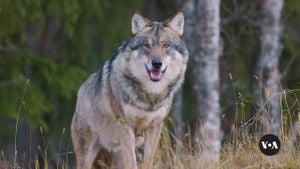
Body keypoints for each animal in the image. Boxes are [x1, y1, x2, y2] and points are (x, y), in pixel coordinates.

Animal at [71, 10, 188, 169]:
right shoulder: (126, 126)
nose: (157, 63)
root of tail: (80, 91)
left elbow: (147, 161)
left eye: (165, 45)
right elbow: (132, 163)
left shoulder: (155, 127)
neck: (150, 96)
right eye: (146, 45)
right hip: (88, 154)